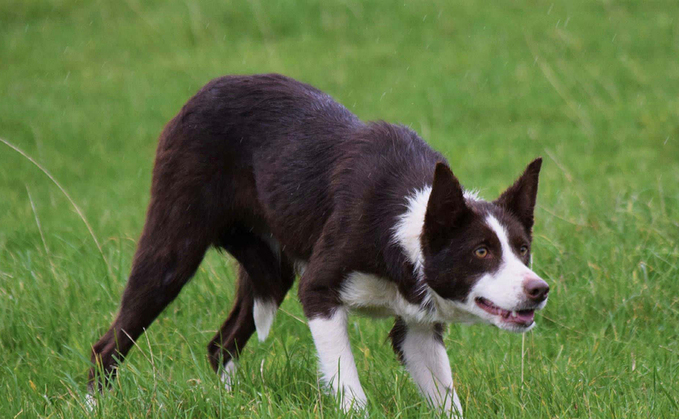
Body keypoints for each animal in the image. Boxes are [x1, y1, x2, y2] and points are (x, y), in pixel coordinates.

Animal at [90, 73, 548, 416]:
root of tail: (203, 91)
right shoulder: (319, 291)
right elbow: (350, 388)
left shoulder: (418, 328)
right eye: (481, 251)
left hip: (271, 269)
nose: (539, 289)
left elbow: (446, 399)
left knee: (221, 344)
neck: (400, 224)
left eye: (522, 248)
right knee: (107, 346)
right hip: (173, 251)